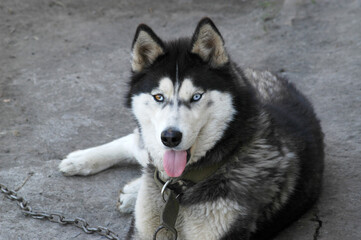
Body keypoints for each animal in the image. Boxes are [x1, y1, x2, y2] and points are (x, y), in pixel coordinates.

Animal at [59, 17, 324, 239]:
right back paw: (82, 160)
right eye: (158, 97)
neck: (180, 188)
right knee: (137, 145)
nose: (170, 137)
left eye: (196, 96)